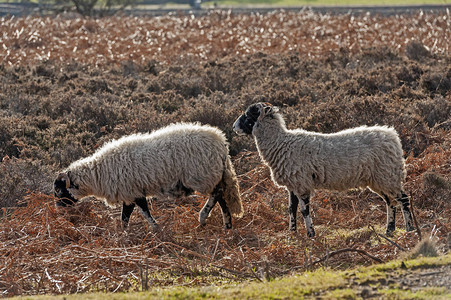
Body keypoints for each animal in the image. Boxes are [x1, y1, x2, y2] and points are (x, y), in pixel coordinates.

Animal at [54, 122, 244, 230]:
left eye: (58, 190)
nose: (58, 208)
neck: (98, 174)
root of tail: (221, 143)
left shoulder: (133, 192)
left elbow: (142, 212)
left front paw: (155, 229)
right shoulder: (130, 194)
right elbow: (126, 216)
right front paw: (124, 232)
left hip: (203, 176)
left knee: (217, 194)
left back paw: (203, 217)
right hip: (212, 175)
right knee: (222, 197)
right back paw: (227, 226)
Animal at [235, 102, 414, 237]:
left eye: (249, 115)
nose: (233, 126)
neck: (280, 142)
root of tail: (392, 135)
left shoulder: (302, 183)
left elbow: (304, 210)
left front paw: (311, 234)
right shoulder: (293, 184)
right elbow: (291, 208)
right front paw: (292, 232)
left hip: (388, 174)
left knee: (403, 199)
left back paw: (409, 229)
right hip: (379, 178)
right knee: (390, 202)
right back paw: (389, 230)